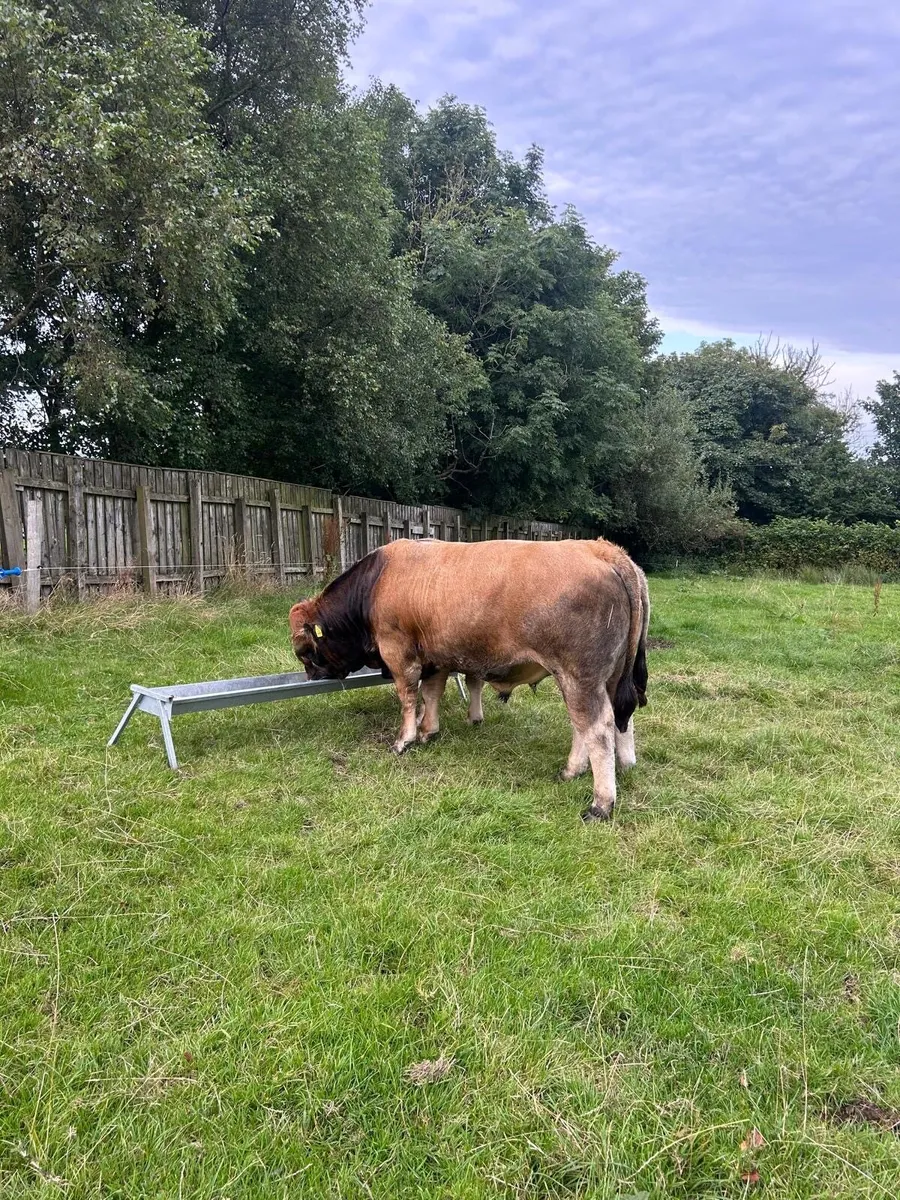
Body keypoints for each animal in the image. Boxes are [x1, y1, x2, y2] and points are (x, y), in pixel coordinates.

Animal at [289, 538, 649, 821]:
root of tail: (599, 548)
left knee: (597, 728)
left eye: (305, 652)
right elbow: (431, 694)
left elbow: (408, 697)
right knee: (612, 717)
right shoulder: (435, 657)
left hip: (579, 676)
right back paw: (580, 770)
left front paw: (404, 739)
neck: (376, 582)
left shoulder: (399, 653)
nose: (312, 675)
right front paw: (428, 730)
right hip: (606, 677)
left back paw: (601, 804)